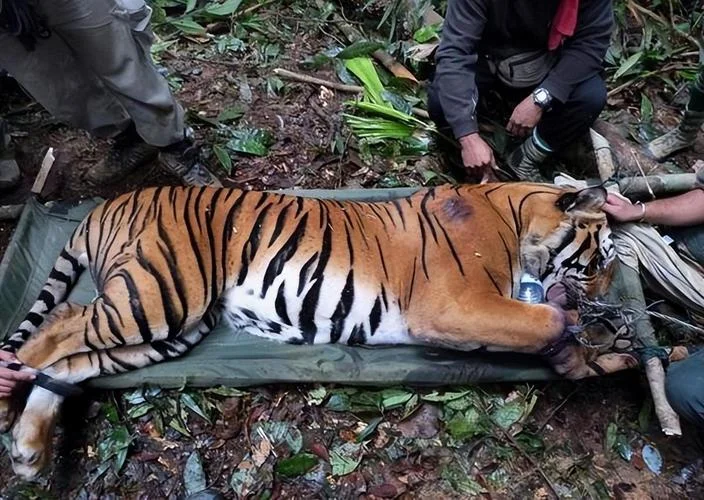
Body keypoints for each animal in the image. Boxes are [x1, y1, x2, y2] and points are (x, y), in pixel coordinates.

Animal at [0, 182, 641, 478]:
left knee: (72, 363)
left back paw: (29, 452)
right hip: (159, 295)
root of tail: (101, 206)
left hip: (170, 328)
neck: (514, 214)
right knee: (57, 326)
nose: (607, 295)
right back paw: (9, 405)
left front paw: (607, 353)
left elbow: (558, 338)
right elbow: (544, 319)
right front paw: (582, 330)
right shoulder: (456, 304)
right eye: (601, 260)